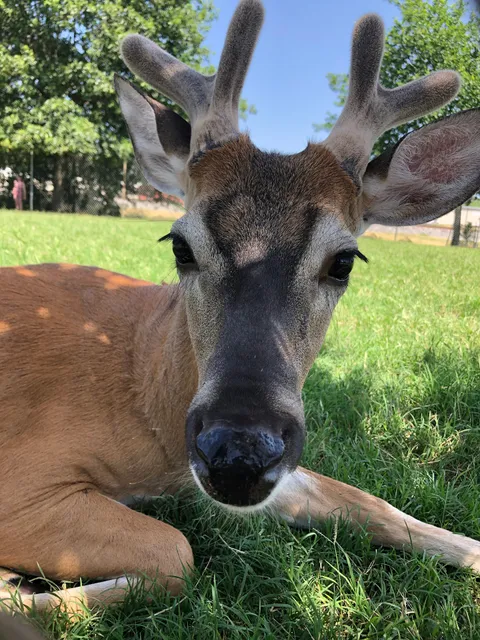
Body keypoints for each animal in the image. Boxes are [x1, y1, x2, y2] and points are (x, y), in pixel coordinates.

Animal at [1, 0, 480, 615]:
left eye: (343, 261)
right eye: (180, 245)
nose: (238, 455)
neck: (145, 388)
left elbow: (374, 504)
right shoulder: (22, 479)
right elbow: (175, 551)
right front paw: (17, 588)